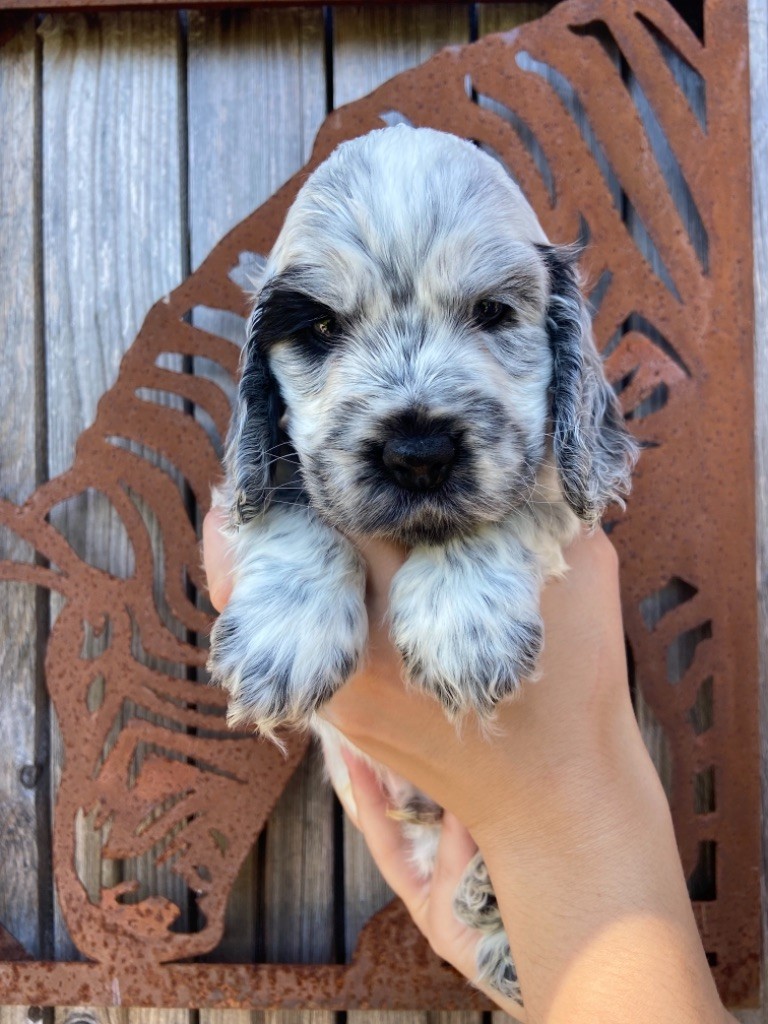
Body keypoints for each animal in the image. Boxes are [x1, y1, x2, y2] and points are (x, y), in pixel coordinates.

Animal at [205, 125, 638, 999]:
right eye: (320, 330)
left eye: (494, 312)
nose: (417, 452)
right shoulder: (253, 482)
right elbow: (292, 501)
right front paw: (283, 641)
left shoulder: (560, 485)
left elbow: (520, 503)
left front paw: (462, 627)